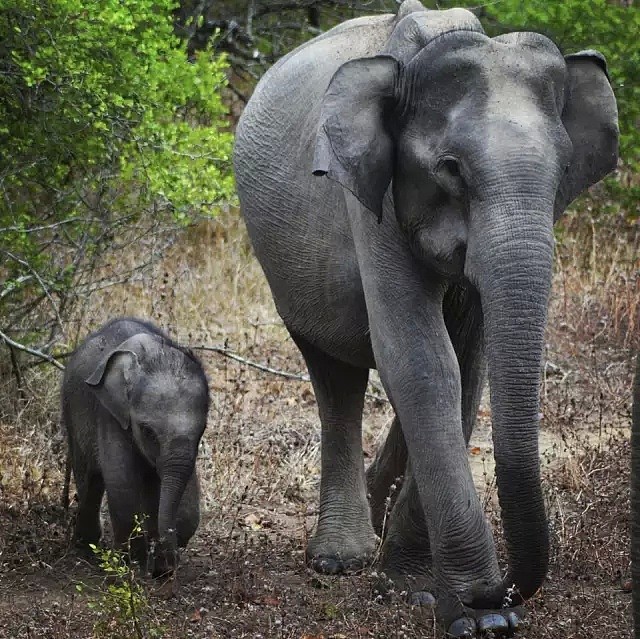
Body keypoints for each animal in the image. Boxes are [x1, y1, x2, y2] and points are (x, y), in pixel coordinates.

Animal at [62, 318, 209, 576]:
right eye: (147, 431)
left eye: (203, 429)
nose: (168, 567)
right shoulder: (111, 414)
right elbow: (122, 482)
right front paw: (131, 564)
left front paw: (159, 564)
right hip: (71, 410)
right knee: (91, 478)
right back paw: (86, 546)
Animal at [232, 2, 616, 636]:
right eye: (451, 167)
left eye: (564, 168)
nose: (500, 593)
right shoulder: (373, 199)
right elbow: (421, 359)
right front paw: (470, 614)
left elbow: (468, 361)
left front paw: (420, 586)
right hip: (284, 267)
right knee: (333, 373)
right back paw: (341, 558)